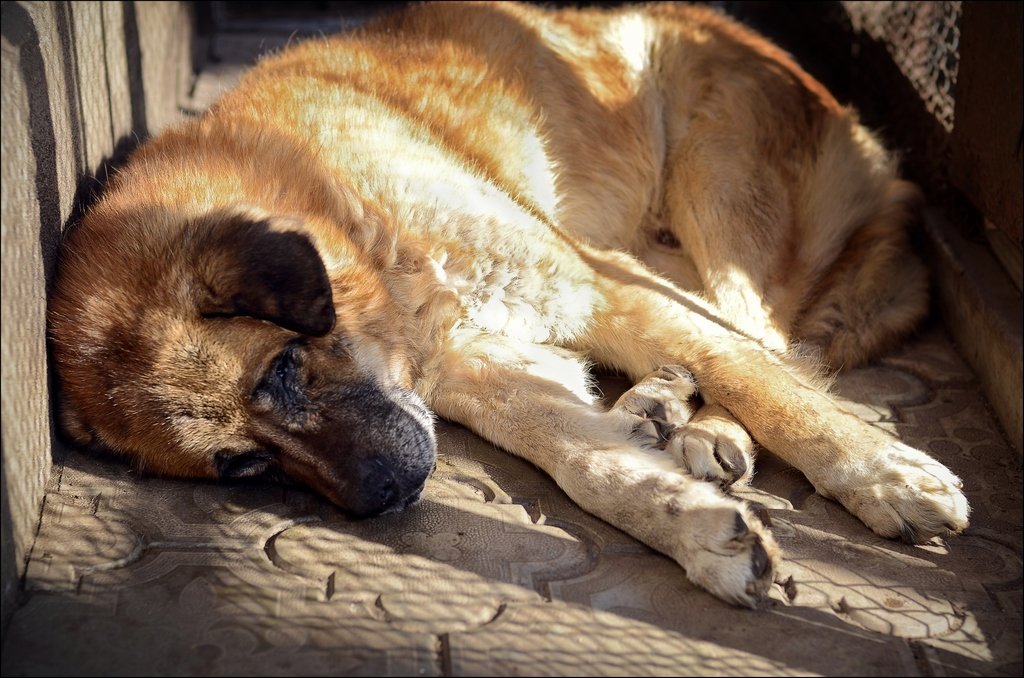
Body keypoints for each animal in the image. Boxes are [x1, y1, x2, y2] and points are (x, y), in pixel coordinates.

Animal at [49, 2, 966, 606]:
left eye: (282, 368)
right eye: (242, 465)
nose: (388, 494)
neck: (338, 203)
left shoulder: (595, 285)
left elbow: (755, 378)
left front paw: (879, 471)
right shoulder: (473, 367)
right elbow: (584, 459)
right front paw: (690, 526)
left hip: (716, 190)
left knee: (769, 342)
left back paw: (714, 424)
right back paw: (669, 411)